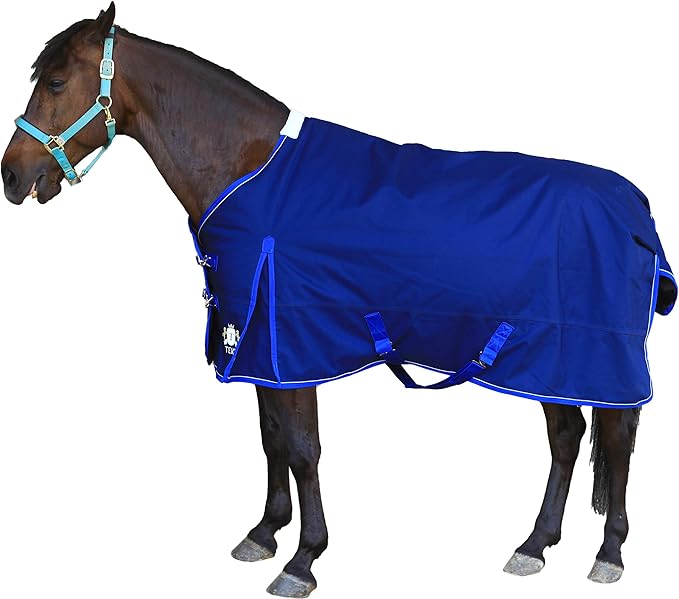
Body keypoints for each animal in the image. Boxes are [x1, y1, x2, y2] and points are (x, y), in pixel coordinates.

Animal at [2, 4, 676, 597]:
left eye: (56, 81)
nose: (12, 176)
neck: (250, 170)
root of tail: (634, 206)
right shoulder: (260, 349)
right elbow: (271, 438)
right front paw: (264, 533)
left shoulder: (290, 348)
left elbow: (303, 449)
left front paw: (303, 559)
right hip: (548, 361)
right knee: (567, 437)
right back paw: (534, 545)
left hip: (591, 358)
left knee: (615, 443)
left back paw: (609, 554)